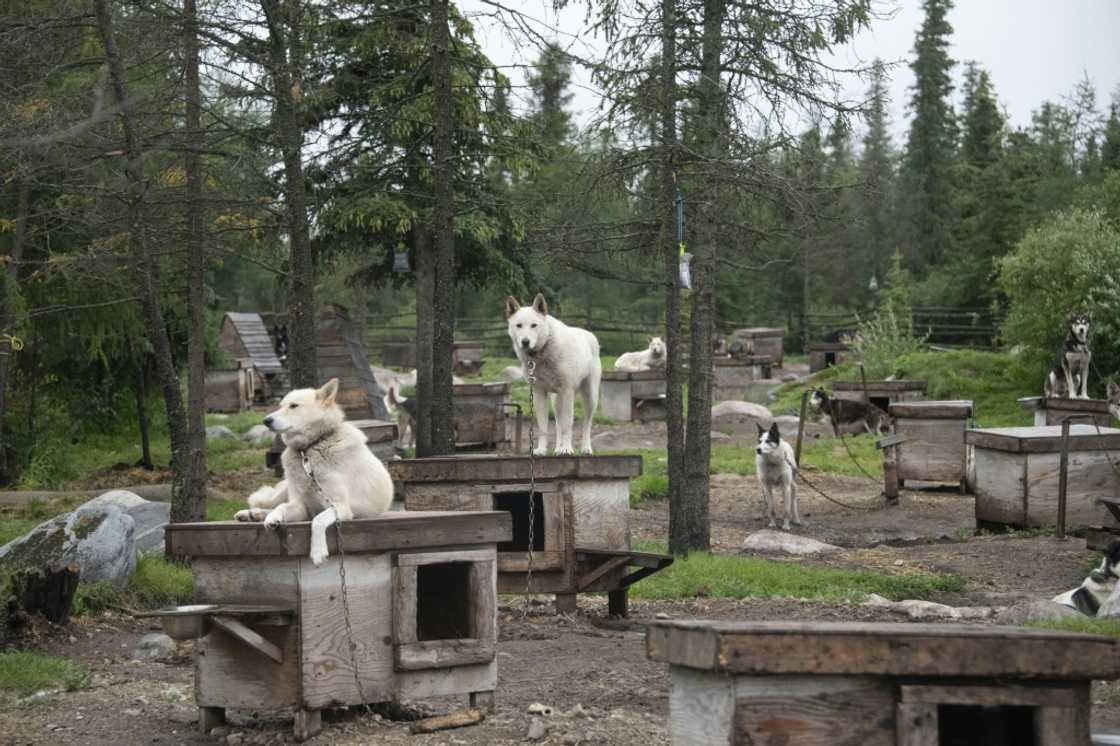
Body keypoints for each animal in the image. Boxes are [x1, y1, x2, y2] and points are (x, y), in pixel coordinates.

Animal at [232, 378, 394, 564]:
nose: (266, 420)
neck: (310, 449)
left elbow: (318, 520)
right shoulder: (300, 506)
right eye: (280, 406)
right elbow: (282, 507)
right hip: (283, 491)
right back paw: (253, 514)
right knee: (273, 503)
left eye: (293, 406)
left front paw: (317, 552)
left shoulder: (340, 507)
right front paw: (273, 518)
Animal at [508, 293, 604, 457]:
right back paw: (558, 448)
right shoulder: (539, 393)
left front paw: (567, 449)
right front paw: (541, 450)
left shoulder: (567, 391)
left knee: (586, 423)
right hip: (556, 399)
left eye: (534, 325)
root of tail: (590, 335)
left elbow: (568, 424)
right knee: (559, 423)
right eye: (519, 325)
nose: (525, 342)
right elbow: (543, 427)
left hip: (590, 397)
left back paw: (585, 449)